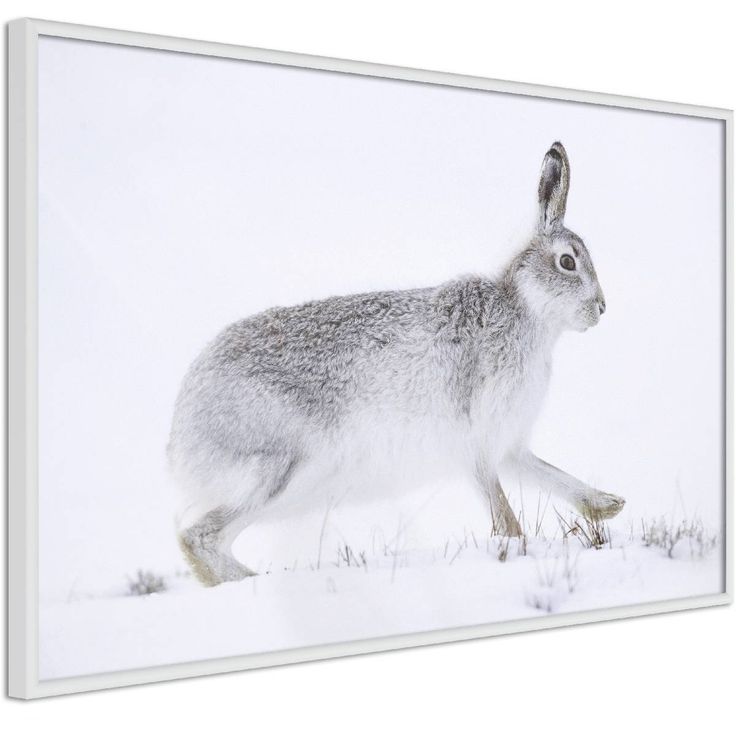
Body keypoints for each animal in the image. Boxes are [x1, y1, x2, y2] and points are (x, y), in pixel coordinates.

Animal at [168, 141, 625, 587]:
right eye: (567, 262)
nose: (602, 308)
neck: (525, 310)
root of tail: (180, 435)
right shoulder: (476, 440)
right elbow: (503, 512)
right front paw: (517, 548)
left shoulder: (509, 445)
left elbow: (549, 474)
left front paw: (608, 505)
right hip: (279, 470)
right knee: (197, 538)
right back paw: (257, 581)